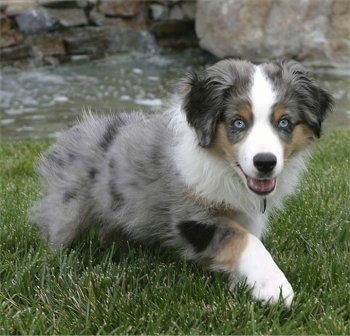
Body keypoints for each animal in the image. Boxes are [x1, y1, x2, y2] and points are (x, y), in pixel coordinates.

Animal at [30, 58, 334, 308]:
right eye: (238, 123)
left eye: (285, 123)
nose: (265, 162)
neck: (224, 167)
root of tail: (70, 133)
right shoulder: (189, 215)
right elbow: (244, 241)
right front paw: (274, 286)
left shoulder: (244, 213)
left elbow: (245, 240)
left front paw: (243, 282)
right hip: (67, 210)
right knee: (57, 237)